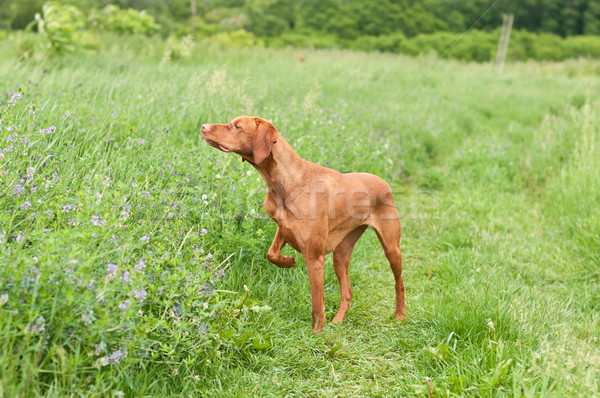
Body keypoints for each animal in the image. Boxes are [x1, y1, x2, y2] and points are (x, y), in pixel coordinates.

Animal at [203, 116, 408, 332]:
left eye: (237, 126)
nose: (203, 127)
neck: (286, 181)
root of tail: (384, 182)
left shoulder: (315, 258)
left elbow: (317, 304)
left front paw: (316, 334)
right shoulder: (284, 229)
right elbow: (271, 254)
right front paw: (288, 261)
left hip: (391, 248)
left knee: (400, 282)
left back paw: (400, 316)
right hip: (341, 254)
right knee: (347, 292)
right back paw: (337, 322)